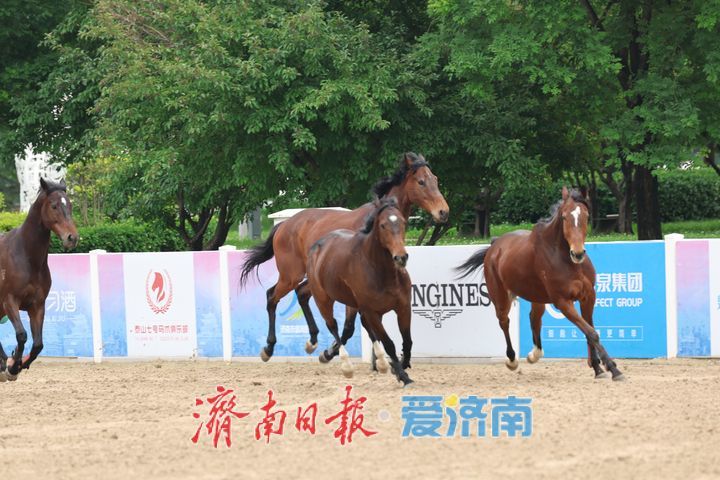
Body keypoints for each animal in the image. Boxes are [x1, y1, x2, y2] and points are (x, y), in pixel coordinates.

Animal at [0, 178, 78, 381]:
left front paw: (18, 364)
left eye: (70, 205)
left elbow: (38, 344)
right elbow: (21, 335)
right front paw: (12, 367)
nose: (72, 238)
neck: (26, 256)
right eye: (54, 206)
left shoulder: (37, 305)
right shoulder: (9, 301)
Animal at [239, 152, 448, 363]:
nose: (443, 212)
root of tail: (283, 225)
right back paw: (269, 348)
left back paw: (312, 341)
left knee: (301, 293)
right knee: (272, 296)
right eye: (421, 182)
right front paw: (333, 352)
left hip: (312, 279)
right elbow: (352, 327)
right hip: (291, 276)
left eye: (436, 179)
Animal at [306, 197, 413, 385]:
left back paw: (382, 364)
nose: (401, 257)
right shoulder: (371, 311)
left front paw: (401, 365)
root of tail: (316, 246)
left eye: (403, 222)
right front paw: (402, 375)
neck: (383, 273)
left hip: (355, 304)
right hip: (323, 299)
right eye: (383, 225)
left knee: (360, 326)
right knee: (333, 325)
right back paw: (345, 365)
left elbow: (407, 341)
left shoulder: (403, 307)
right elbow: (389, 343)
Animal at [455, 187, 624, 381]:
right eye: (564, 217)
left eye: (586, 216)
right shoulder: (563, 302)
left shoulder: (588, 297)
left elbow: (590, 332)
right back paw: (512, 360)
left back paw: (534, 354)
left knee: (534, 319)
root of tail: (495, 245)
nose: (578, 253)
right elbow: (591, 332)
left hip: (537, 297)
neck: (565, 259)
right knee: (504, 321)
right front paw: (613, 369)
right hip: (500, 297)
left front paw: (597, 367)